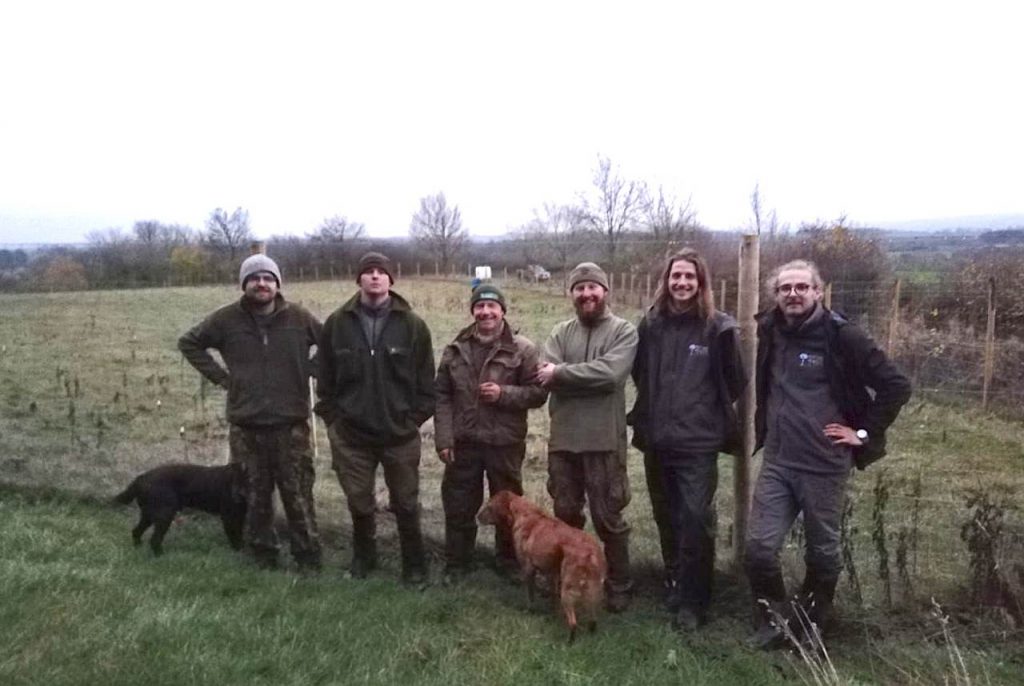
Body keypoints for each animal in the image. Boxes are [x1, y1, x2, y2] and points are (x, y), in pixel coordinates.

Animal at [475, 491, 602, 642]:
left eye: (489, 506)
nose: (477, 517)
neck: (526, 514)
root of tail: (590, 552)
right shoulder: (552, 573)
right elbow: (553, 597)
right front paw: (553, 615)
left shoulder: (528, 569)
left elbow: (530, 595)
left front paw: (530, 611)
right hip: (592, 591)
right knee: (593, 620)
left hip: (569, 590)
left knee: (573, 624)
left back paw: (568, 642)